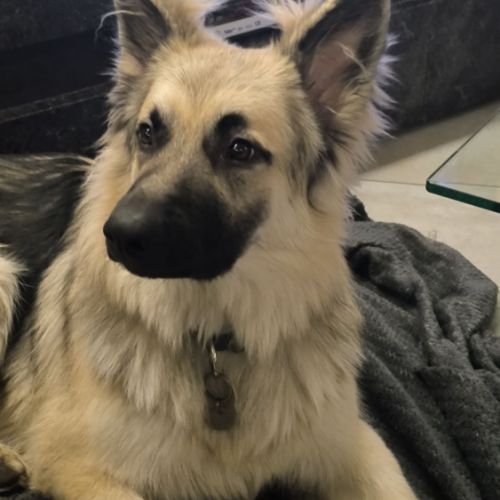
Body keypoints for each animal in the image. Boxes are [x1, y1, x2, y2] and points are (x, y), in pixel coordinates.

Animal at [0, 1, 416, 498]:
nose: (116, 234)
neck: (215, 341)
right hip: (4, 274)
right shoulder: (74, 465)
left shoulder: (355, 445)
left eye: (240, 149)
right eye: (148, 133)